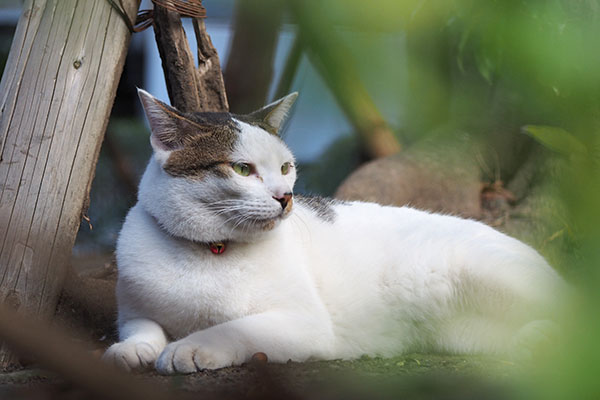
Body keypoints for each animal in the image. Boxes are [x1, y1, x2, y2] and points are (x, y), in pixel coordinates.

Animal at [101, 89, 564, 374]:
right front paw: (131, 351)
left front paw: (189, 347)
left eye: (285, 167)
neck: (211, 250)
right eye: (243, 169)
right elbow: (141, 328)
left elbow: (232, 329)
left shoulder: (301, 322)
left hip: (492, 274)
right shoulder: (133, 309)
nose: (286, 196)